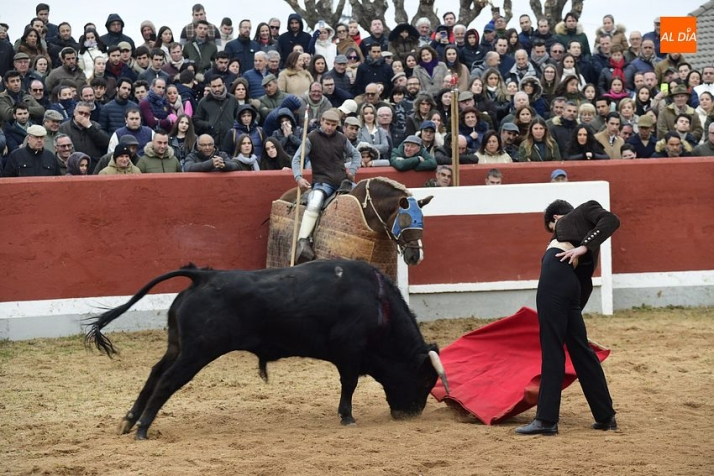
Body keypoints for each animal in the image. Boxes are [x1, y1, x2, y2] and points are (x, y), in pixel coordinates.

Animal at [86, 260, 448, 438]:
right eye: (425, 380)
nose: (410, 414)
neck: (378, 304)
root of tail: (202, 276)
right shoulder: (350, 351)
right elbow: (349, 385)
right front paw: (347, 417)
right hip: (197, 352)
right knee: (167, 382)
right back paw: (142, 430)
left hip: (178, 347)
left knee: (154, 374)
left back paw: (128, 422)